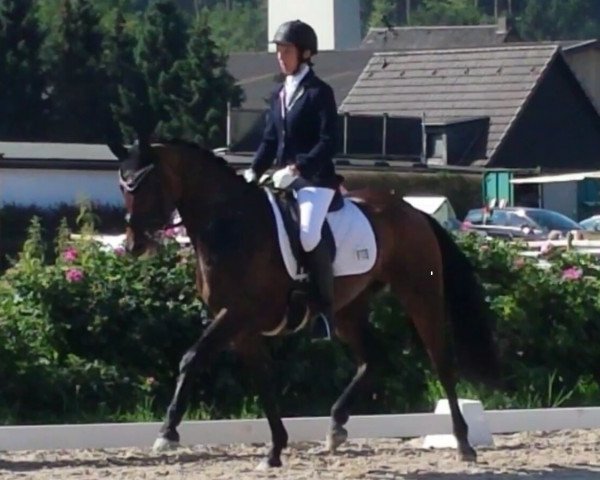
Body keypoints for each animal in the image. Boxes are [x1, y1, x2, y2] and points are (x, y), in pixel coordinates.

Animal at [109, 139, 502, 468]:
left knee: (442, 364)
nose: (133, 245)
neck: (230, 225)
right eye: (123, 187)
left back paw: (464, 444)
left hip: (420, 294)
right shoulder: (242, 327)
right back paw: (336, 427)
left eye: (144, 185)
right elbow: (263, 381)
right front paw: (274, 450)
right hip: (347, 309)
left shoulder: (237, 314)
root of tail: (412, 211)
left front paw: (167, 433)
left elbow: (191, 358)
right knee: (372, 359)